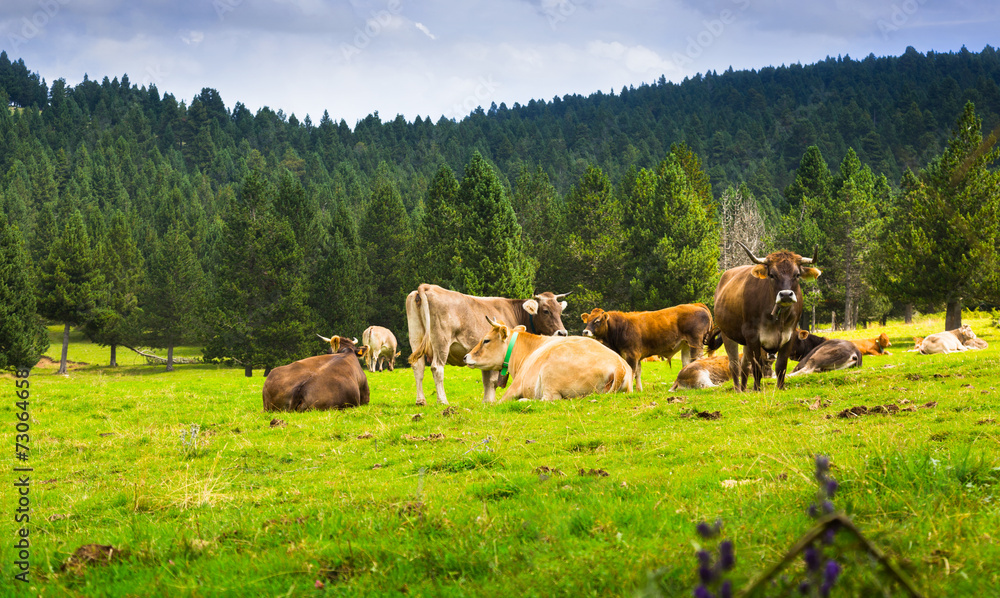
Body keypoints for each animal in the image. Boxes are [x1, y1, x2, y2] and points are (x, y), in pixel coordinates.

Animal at [406, 284, 570, 405]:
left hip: (415, 337)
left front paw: (486, 401)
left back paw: (420, 401)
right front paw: (490, 401)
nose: (562, 333)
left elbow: (486, 380)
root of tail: (428, 287)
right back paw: (443, 401)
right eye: (546, 311)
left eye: (560, 311)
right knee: (437, 368)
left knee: (418, 367)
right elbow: (493, 381)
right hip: (441, 341)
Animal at [463, 319, 632, 401]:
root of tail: (618, 365)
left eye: (486, 340)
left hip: (549, 375)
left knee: (549, 399)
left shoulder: (516, 386)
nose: (466, 357)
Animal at [580, 304, 713, 392]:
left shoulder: (631, 355)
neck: (621, 327)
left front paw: (630, 390)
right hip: (686, 345)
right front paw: (639, 389)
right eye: (587, 320)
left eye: (597, 321)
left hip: (695, 343)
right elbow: (638, 373)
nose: (585, 331)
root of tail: (696, 304)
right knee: (686, 363)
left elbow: (632, 372)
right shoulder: (637, 356)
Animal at [713, 242, 821, 391]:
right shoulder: (752, 335)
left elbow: (781, 365)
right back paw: (738, 390)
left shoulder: (790, 334)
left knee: (744, 364)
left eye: (797, 274)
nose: (786, 295)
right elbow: (757, 366)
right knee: (734, 364)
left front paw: (780, 388)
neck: (778, 318)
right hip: (727, 334)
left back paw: (744, 389)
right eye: (772, 275)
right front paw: (757, 389)